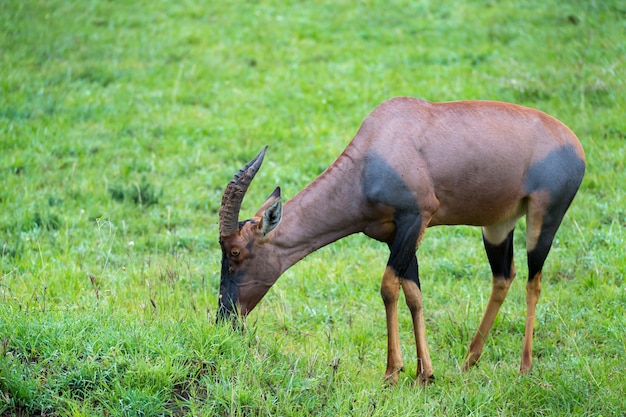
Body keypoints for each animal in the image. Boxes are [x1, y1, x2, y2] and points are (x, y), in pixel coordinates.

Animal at [216, 97, 584, 384]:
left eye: (234, 253)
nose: (225, 319)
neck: (375, 153)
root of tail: (574, 142)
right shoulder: (396, 235)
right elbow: (413, 293)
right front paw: (425, 373)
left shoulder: (415, 219)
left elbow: (388, 288)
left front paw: (393, 371)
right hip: (497, 225)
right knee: (503, 276)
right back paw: (469, 362)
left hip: (544, 217)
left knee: (534, 281)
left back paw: (525, 367)